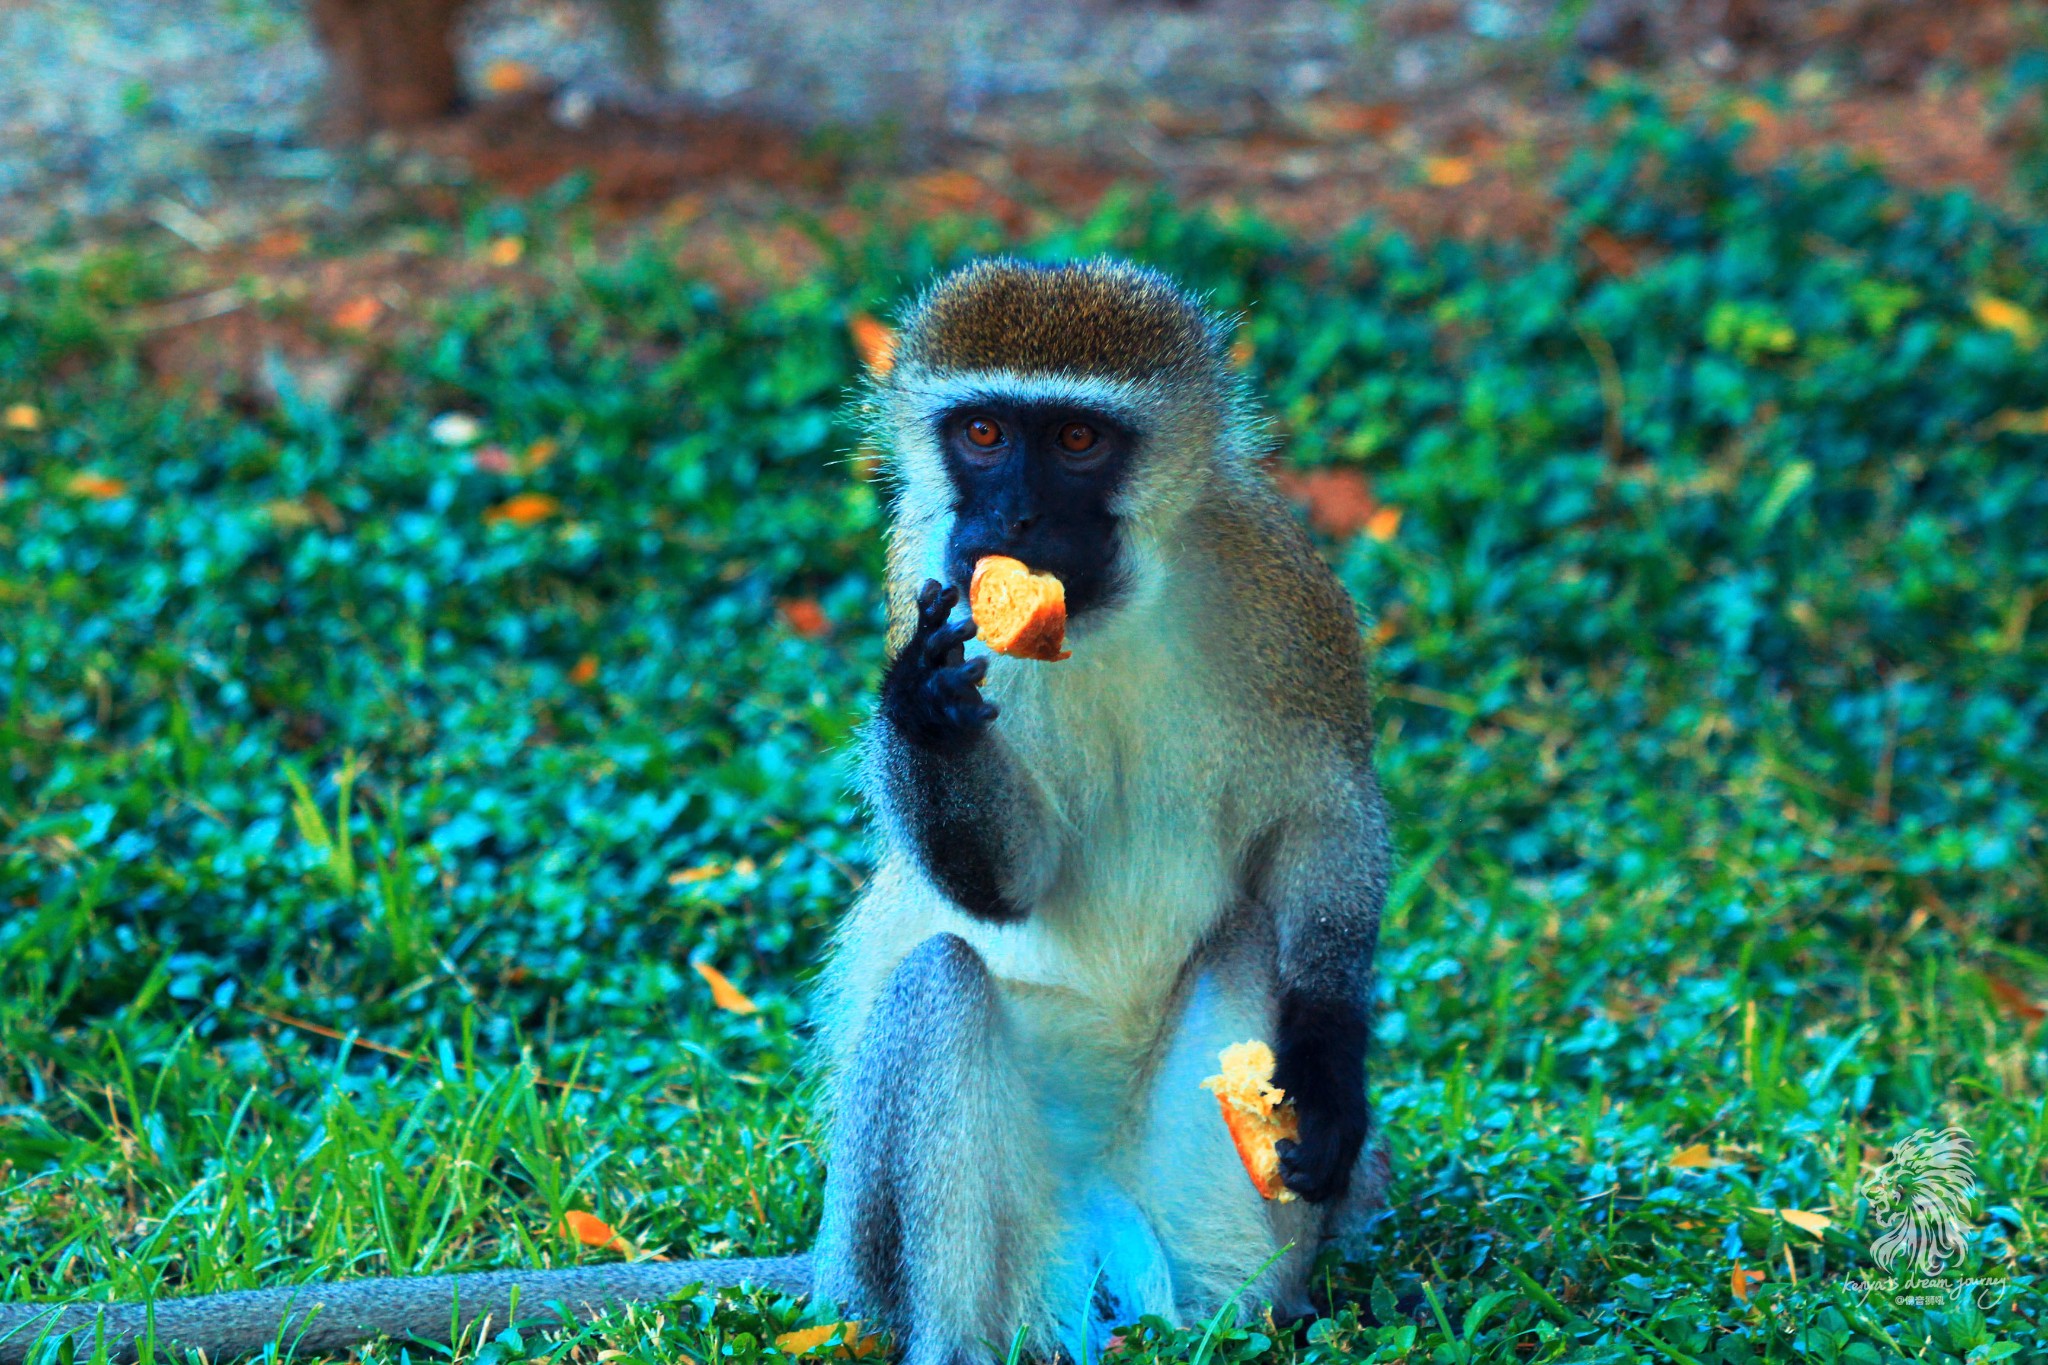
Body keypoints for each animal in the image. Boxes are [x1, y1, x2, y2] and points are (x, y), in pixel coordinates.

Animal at [0, 258, 1392, 1365]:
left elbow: (1324, 822)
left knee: (1248, 958)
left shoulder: (1281, 588)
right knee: (939, 991)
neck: (1102, 615)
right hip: (917, 1255)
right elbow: (1004, 887)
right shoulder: (922, 576)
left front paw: (1328, 1076)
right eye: (987, 435)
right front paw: (922, 710)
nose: (1009, 521)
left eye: (1080, 445)